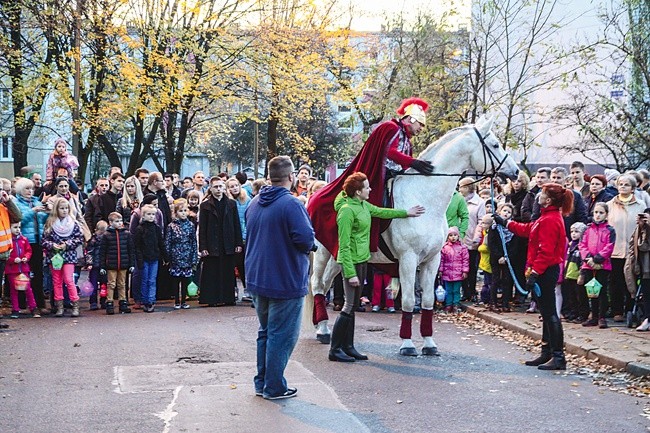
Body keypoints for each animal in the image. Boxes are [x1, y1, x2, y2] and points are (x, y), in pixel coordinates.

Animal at [308, 115, 516, 354]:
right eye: (495, 145)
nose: (516, 172)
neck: (425, 198)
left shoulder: (432, 260)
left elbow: (427, 301)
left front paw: (429, 343)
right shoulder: (408, 259)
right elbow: (408, 300)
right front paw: (407, 344)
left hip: (338, 256)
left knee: (325, 284)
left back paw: (323, 327)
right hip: (323, 252)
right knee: (317, 284)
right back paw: (323, 330)